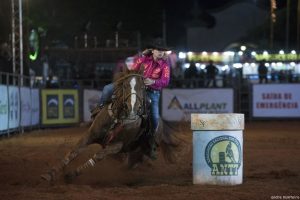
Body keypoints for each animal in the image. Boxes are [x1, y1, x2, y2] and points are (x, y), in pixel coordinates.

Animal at [41, 66, 184, 183]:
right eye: (125, 85)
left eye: (142, 87)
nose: (132, 108)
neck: (118, 118)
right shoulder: (90, 135)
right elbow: (73, 152)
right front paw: (49, 174)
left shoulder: (116, 145)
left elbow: (97, 156)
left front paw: (71, 174)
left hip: (139, 151)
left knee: (130, 163)